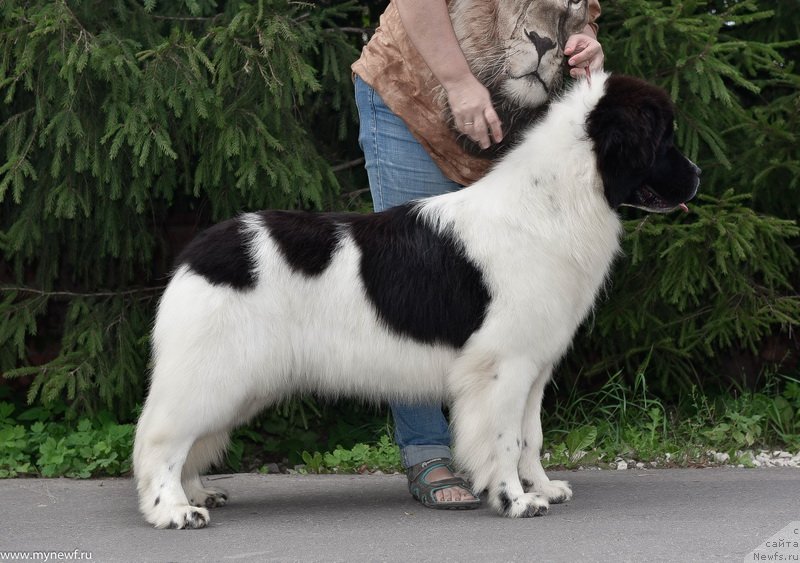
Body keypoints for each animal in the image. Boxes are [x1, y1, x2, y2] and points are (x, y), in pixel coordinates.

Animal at [134, 74, 696, 528]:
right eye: (664, 139)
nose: (698, 176)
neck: (555, 201)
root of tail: (197, 249)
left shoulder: (534, 366)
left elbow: (530, 436)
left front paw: (542, 487)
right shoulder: (502, 366)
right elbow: (503, 439)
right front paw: (514, 500)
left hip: (237, 382)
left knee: (189, 440)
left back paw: (196, 492)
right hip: (214, 371)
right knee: (162, 439)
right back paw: (174, 510)